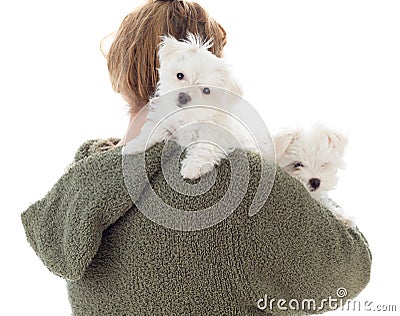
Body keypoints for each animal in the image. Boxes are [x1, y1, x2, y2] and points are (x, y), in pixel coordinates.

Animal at [123, 34, 268, 180]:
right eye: (180, 75)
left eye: (206, 91)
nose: (183, 96)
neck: (189, 115)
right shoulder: (166, 121)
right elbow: (153, 130)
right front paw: (133, 145)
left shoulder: (218, 134)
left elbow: (205, 147)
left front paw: (192, 167)